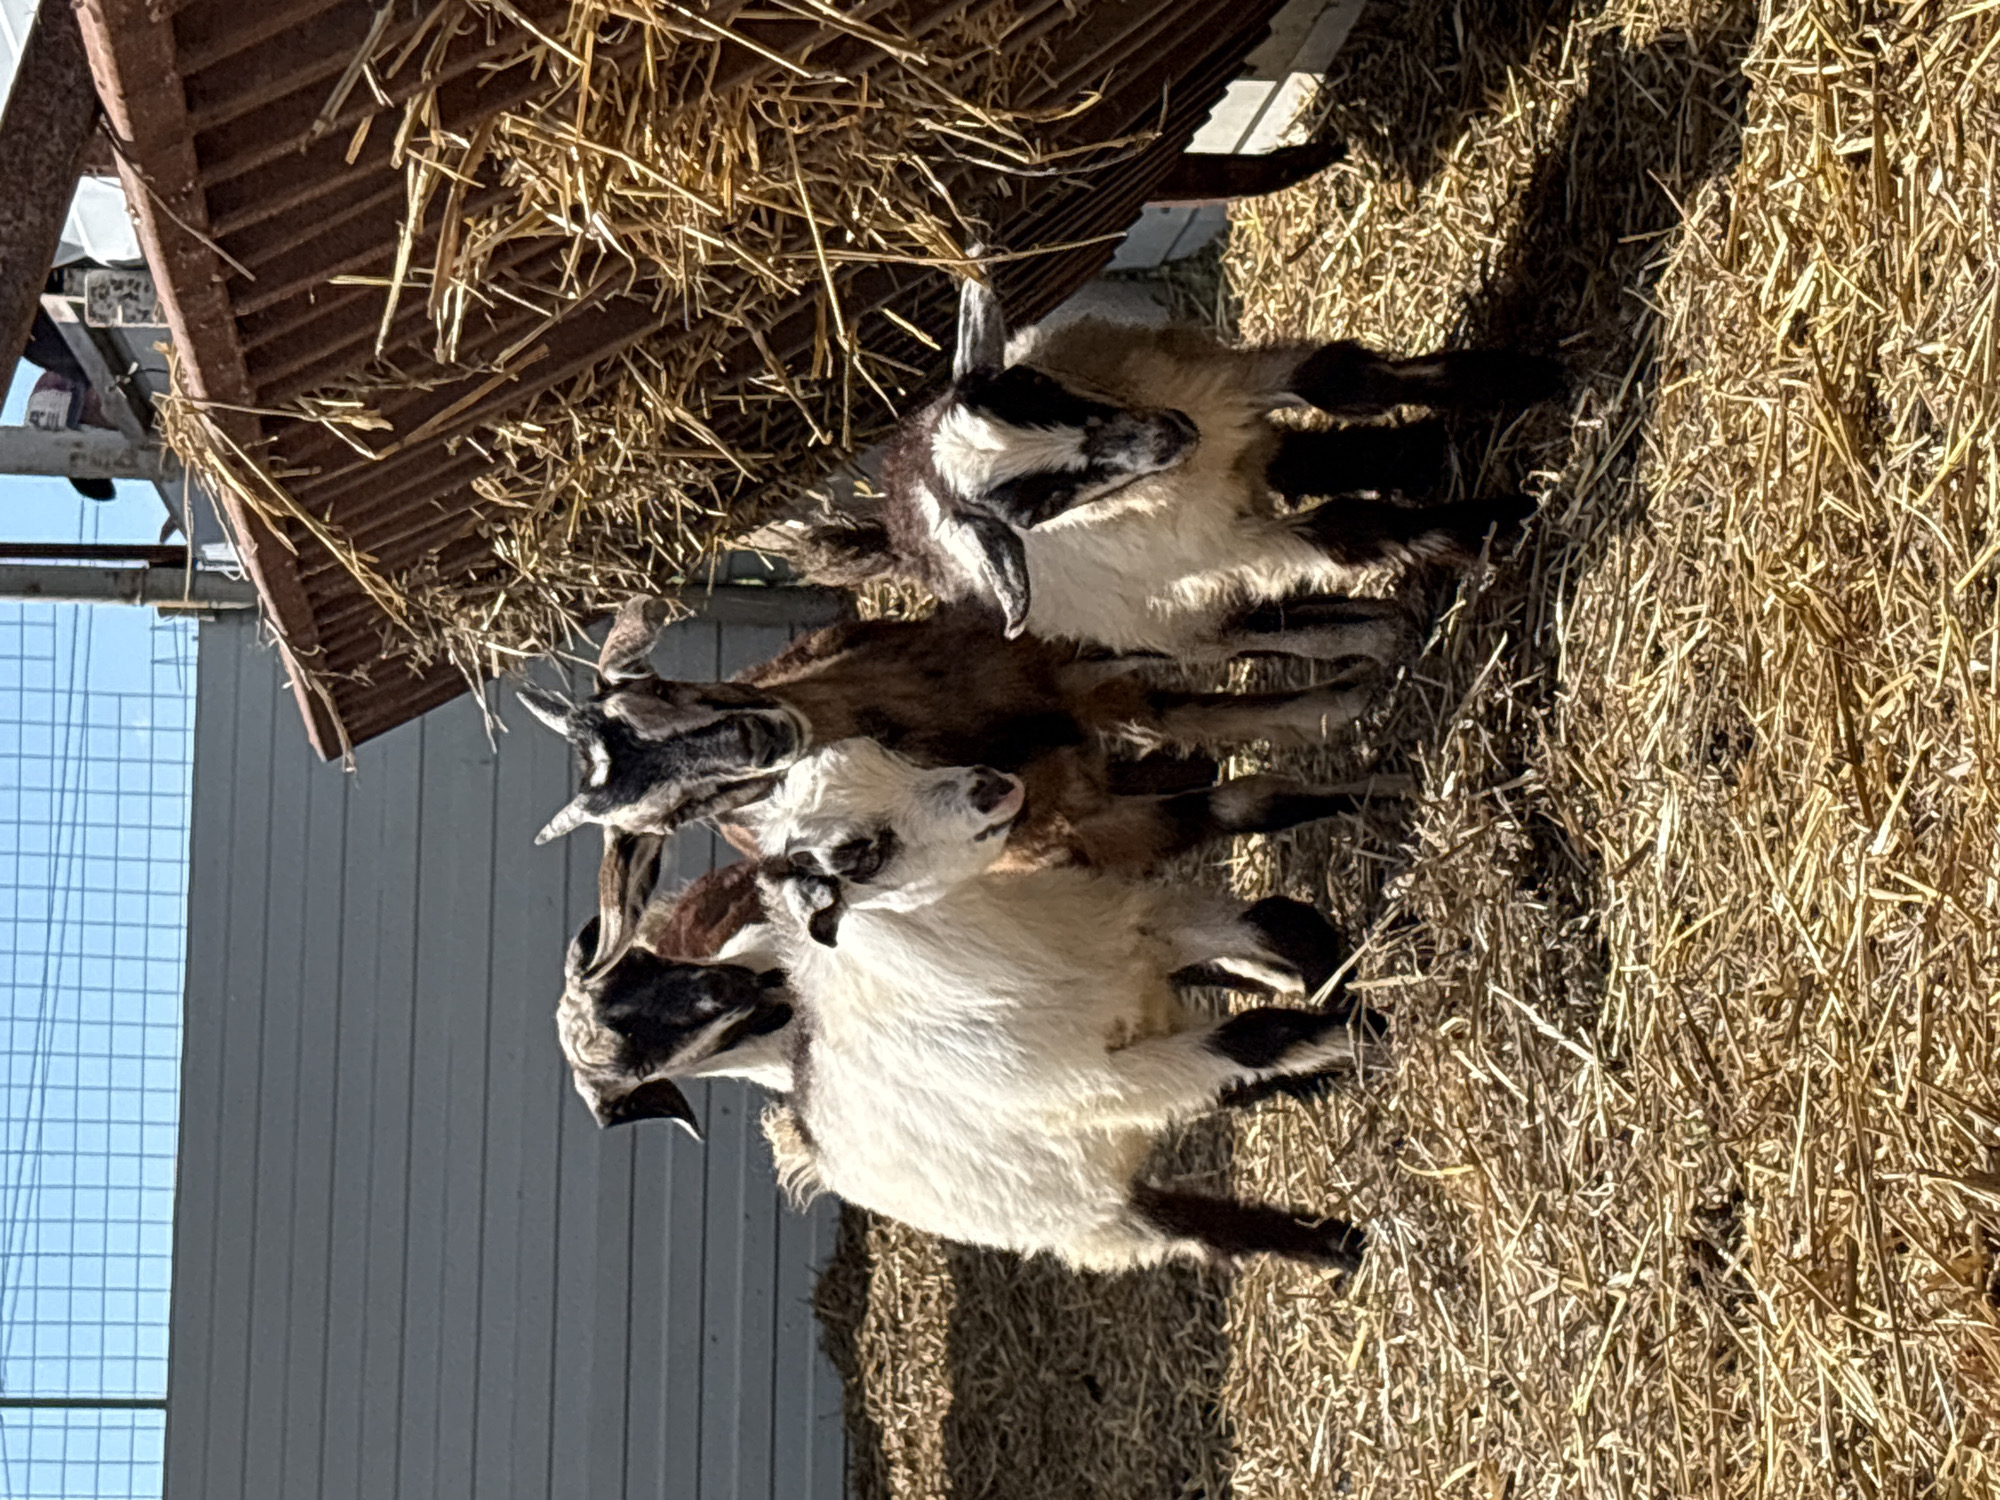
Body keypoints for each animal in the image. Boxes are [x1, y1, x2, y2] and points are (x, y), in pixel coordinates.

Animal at [518, 594, 1395, 853]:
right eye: (670, 818)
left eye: (653, 684)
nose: (756, 738)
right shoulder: (1074, 819)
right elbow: (1248, 799)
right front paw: (1384, 786)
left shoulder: (1044, 668)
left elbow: (1204, 644)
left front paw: (1364, 650)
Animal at [762, 277, 1564, 656]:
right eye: (1033, 506)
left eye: (1032, 385)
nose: (1166, 435)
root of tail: (899, 537)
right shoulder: (1233, 549)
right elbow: (1348, 532)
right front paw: (1498, 521)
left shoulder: (1227, 387)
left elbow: (1344, 383)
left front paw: (1523, 379)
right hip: (1167, 616)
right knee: (1242, 631)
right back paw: (1372, 633)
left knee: (1298, 459)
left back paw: (1417, 455)